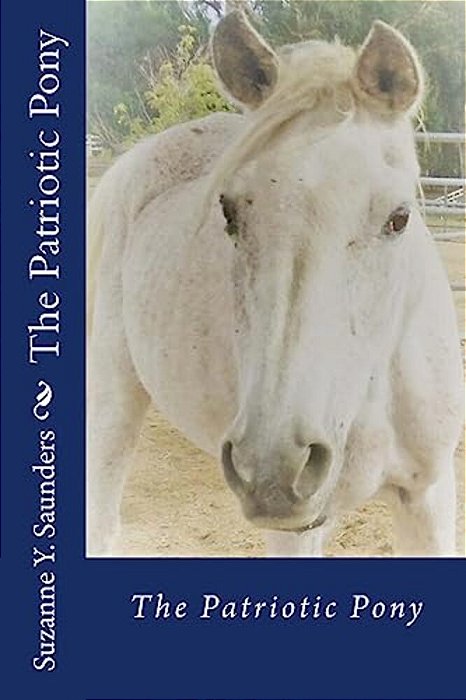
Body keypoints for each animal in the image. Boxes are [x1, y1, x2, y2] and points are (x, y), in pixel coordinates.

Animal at [87, 11, 463, 557]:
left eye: (399, 218)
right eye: (228, 213)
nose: (271, 470)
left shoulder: (427, 495)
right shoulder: (297, 529)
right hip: (112, 397)